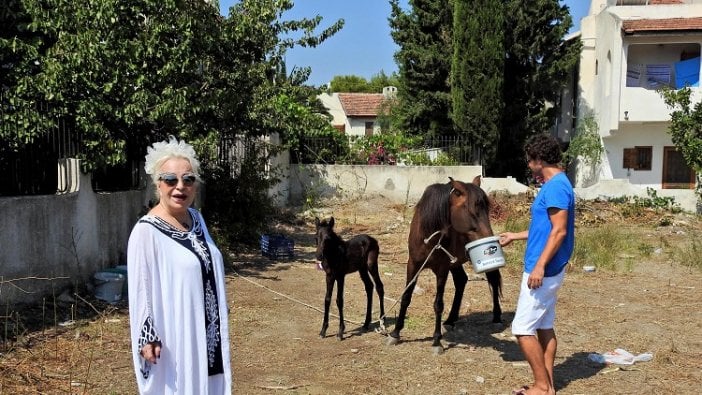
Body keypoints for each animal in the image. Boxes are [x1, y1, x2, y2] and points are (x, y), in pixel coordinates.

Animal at [388, 178, 504, 354]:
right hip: (455, 263)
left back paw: (497, 317)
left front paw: (437, 341)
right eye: (471, 210)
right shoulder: (413, 265)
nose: (489, 237)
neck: (430, 237)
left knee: (493, 279)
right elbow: (406, 297)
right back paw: (450, 319)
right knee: (461, 281)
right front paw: (395, 333)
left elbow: (438, 304)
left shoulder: (442, 269)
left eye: (486, 209)